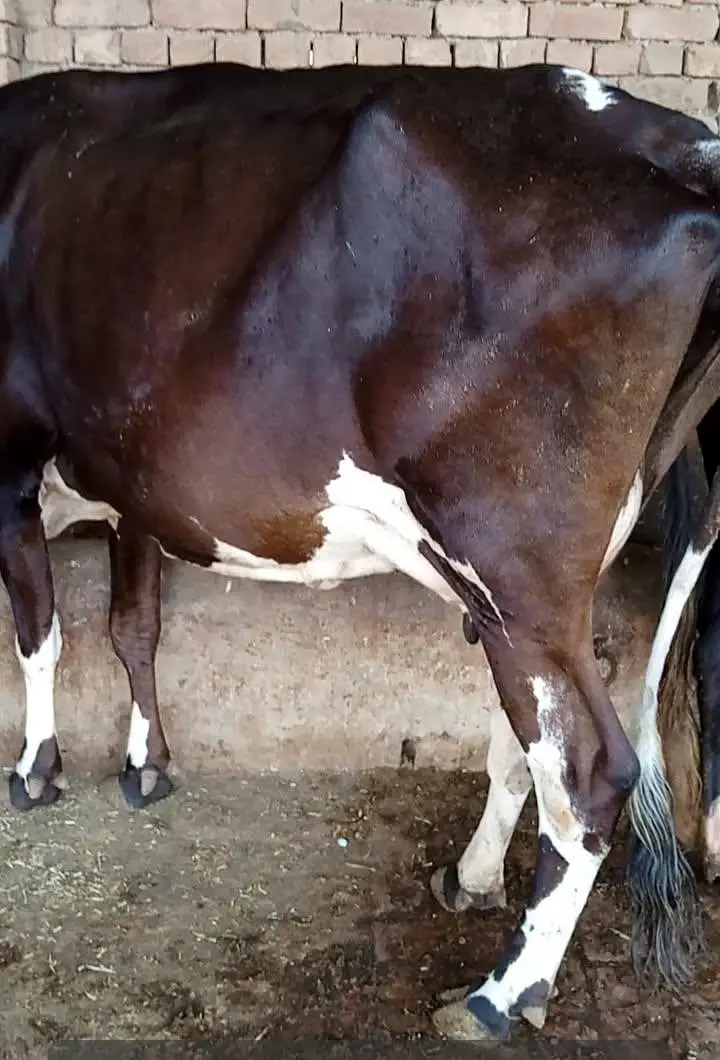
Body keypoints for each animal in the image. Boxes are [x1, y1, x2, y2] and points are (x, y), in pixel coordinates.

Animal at [2, 59, 720, 1041]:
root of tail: (682, 147)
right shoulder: (134, 487)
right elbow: (133, 626)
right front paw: (146, 764)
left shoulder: (6, 464)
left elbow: (39, 634)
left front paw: (37, 770)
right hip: (525, 587)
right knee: (524, 741)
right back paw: (471, 878)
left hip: (519, 567)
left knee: (588, 775)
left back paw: (502, 993)